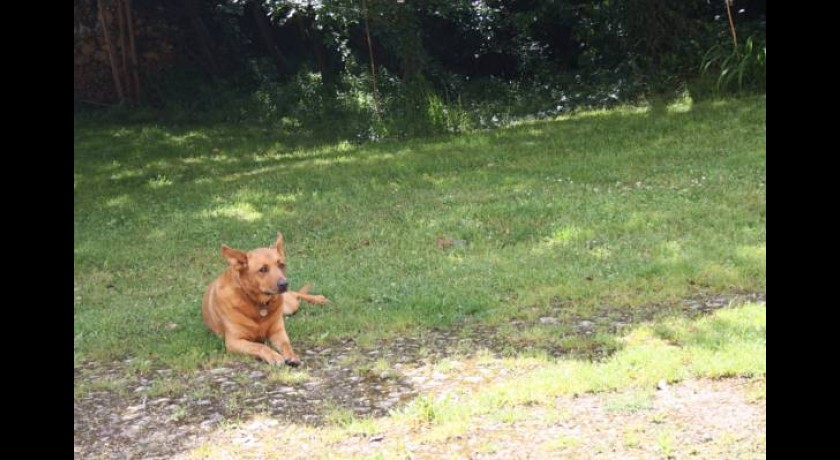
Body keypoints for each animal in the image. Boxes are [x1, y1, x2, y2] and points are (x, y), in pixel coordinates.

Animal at [202, 234, 330, 366]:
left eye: (281, 265)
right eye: (263, 269)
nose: (284, 284)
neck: (259, 304)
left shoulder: (278, 332)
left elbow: (286, 344)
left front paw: (292, 355)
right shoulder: (234, 341)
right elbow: (260, 346)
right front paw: (274, 356)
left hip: (289, 307)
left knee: (295, 294)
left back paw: (318, 299)